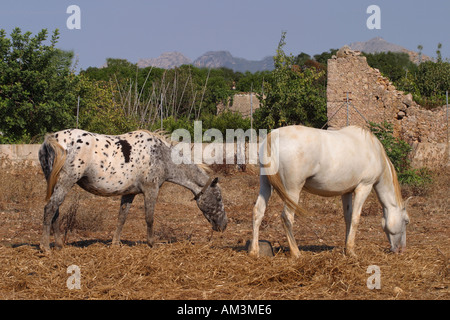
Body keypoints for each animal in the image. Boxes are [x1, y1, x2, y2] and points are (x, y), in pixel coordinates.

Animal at [38, 128, 227, 252]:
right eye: (218, 198)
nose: (224, 225)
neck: (162, 156)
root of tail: (51, 139)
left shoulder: (129, 194)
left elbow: (122, 217)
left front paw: (115, 243)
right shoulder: (151, 190)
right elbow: (149, 218)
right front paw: (151, 243)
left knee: (55, 210)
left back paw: (58, 244)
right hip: (65, 182)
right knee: (50, 208)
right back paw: (45, 247)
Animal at [250, 125, 412, 258]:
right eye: (406, 221)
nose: (402, 250)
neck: (374, 150)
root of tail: (273, 136)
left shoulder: (346, 192)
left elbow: (348, 218)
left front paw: (346, 247)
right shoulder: (364, 187)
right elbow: (355, 218)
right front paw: (351, 251)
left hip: (266, 185)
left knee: (258, 211)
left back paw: (254, 251)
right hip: (292, 190)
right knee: (287, 217)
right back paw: (296, 253)